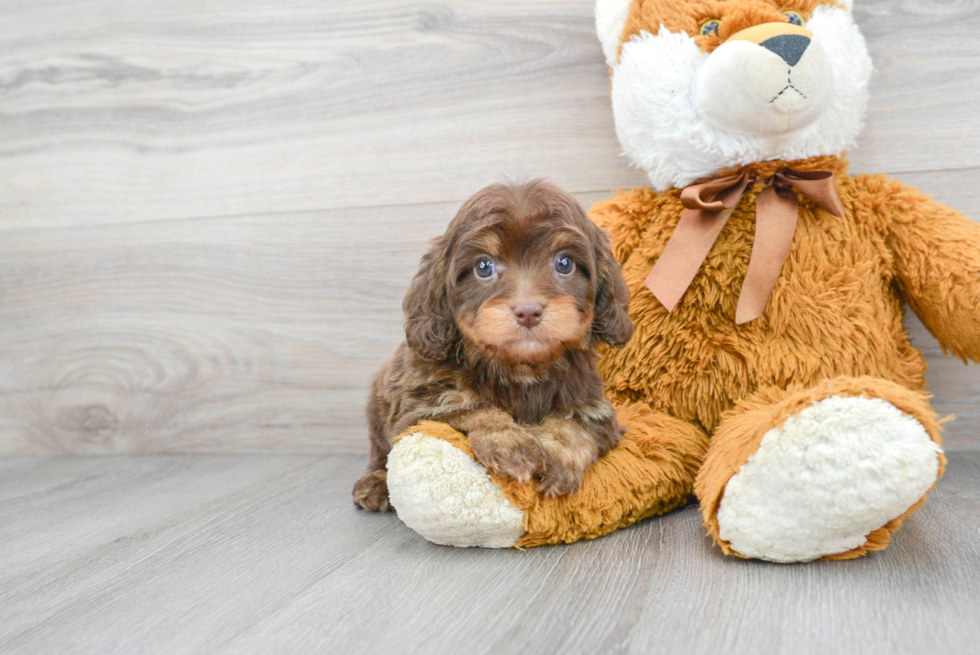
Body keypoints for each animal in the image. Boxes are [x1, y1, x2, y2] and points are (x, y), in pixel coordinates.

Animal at [356, 181, 632, 512]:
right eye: (484, 267)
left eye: (564, 263)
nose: (528, 311)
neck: (520, 367)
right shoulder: (421, 407)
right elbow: (473, 407)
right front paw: (513, 445)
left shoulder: (594, 408)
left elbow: (574, 426)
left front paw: (555, 457)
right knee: (379, 456)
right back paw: (375, 485)